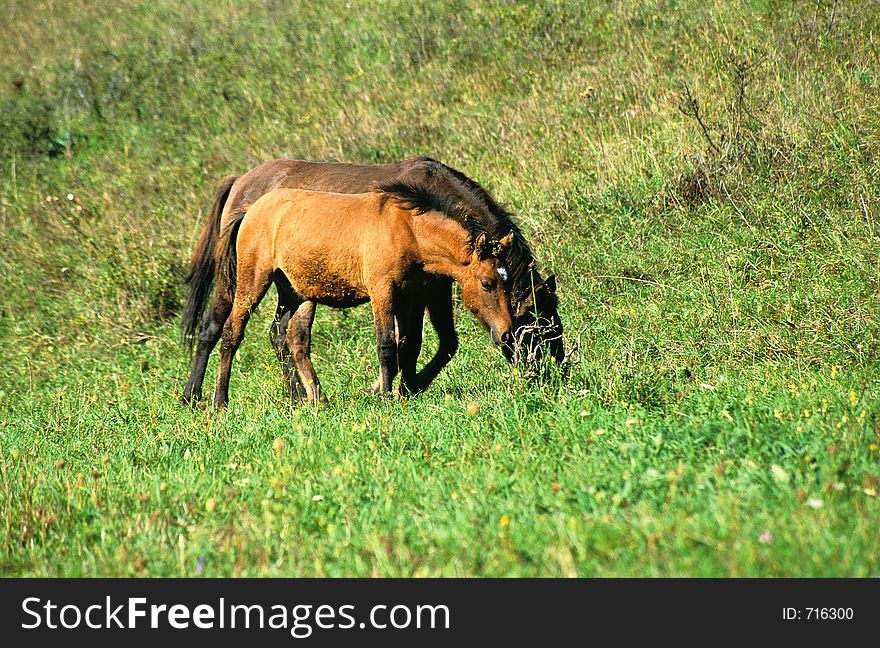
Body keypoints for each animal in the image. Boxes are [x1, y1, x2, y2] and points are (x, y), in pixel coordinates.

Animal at [182, 156, 564, 400]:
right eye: (537, 323)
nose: (550, 375)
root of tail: (241, 185)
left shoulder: (421, 289)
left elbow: (427, 343)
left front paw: (406, 387)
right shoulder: (412, 289)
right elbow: (407, 343)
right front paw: (393, 389)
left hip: (294, 287)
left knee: (284, 336)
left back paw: (301, 397)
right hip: (242, 281)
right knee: (217, 330)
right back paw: (198, 397)